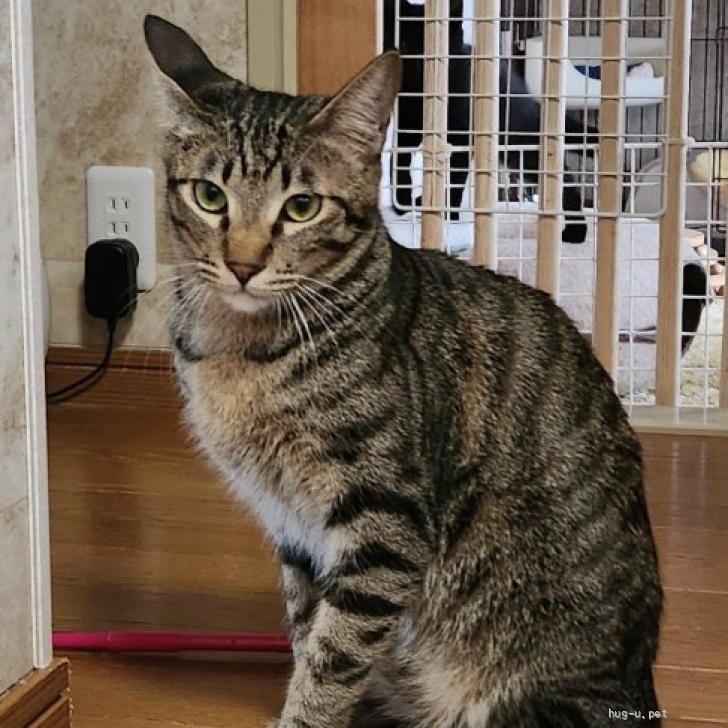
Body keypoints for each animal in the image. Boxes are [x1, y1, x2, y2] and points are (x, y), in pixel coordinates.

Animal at [384, 0, 597, 243]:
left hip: (522, 145)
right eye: (403, 43)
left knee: (563, 180)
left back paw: (575, 232)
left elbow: (456, 178)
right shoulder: (405, 128)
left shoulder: (462, 139)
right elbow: (397, 161)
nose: (419, 60)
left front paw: (449, 216)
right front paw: (401, 201)